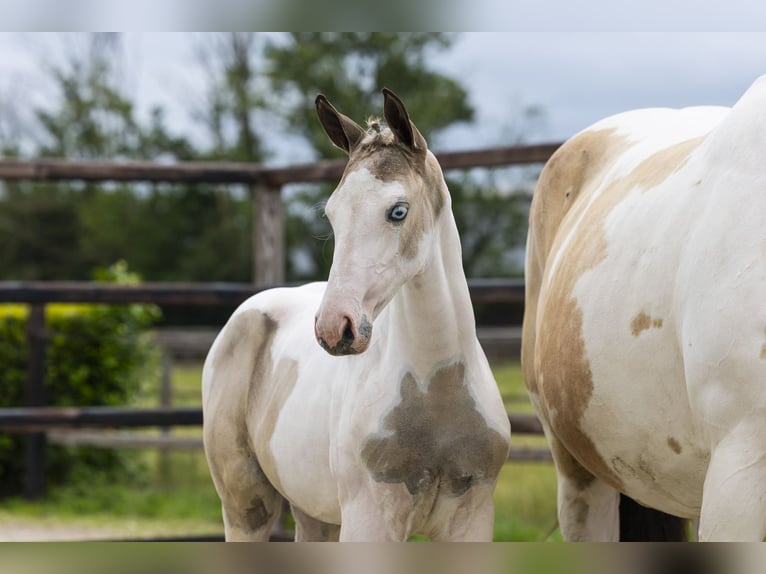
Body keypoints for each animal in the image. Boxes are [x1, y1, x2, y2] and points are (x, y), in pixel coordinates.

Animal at [202, 88, 510, 542]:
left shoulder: (471, 517)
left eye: (398, 210)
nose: (335, 328)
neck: (436, 391)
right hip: (246, 506)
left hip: (314, 514)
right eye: (332, 213)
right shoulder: (369, 516)